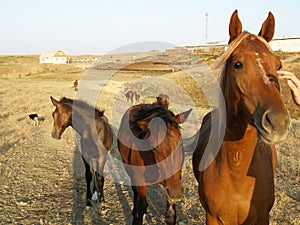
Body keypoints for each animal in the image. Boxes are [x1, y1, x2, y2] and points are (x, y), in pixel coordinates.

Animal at [118, 95, 191, 225]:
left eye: (181, 143)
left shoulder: (171, 184)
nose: (176, 192)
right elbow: (142, 207)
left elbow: (170, 215)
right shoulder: (141, 181)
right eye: (154, 148)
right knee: (135, 191)